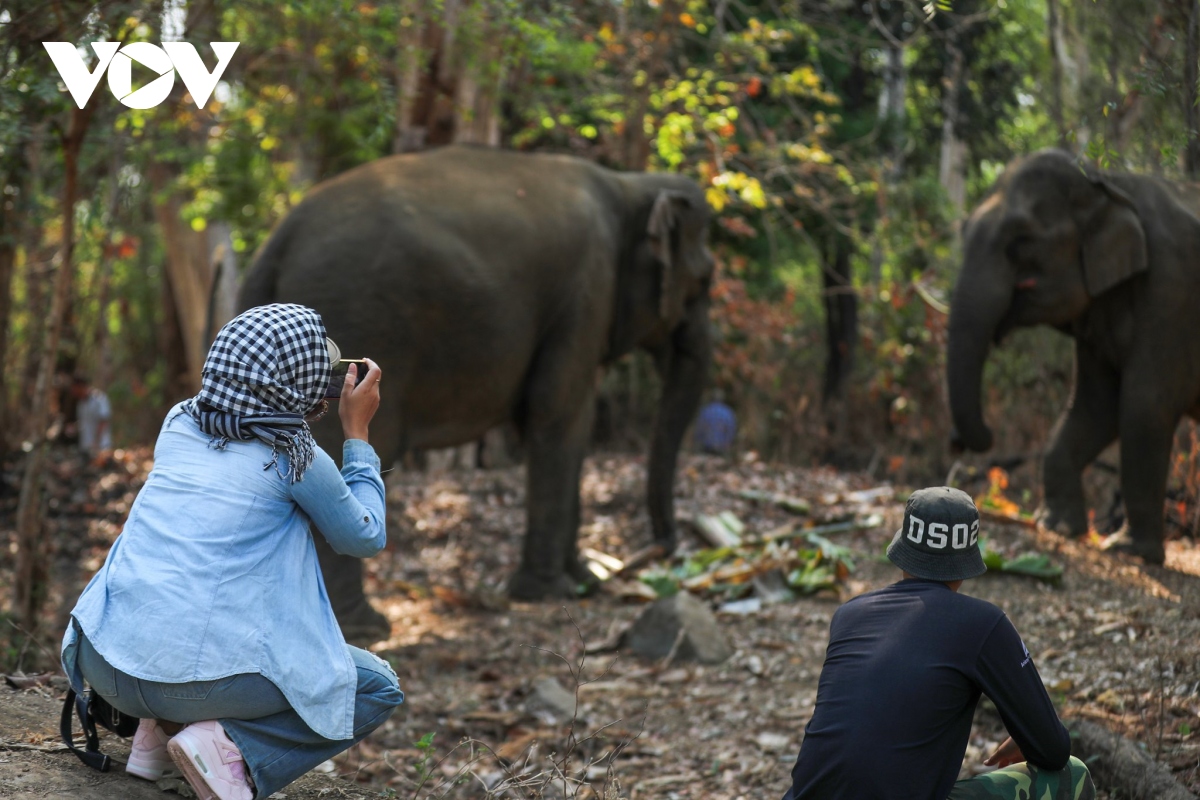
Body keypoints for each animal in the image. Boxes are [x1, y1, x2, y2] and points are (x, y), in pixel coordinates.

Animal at [240, 143, 715, 638]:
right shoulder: (587, 294)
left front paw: (584, 580)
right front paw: (552, 592)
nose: (664, 550)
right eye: (704, 280)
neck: (629, 185)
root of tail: (278, 240)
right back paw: (365, 629)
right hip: (357, 309)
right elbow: (557, 413)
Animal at [945, 148, 1200, 563]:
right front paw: (1058, 526)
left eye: (1021, 240)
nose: (957, 441)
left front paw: (1129, 550)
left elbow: (1145, 406)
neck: (1109, 184)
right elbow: (1095, 406)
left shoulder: (1174, 291)